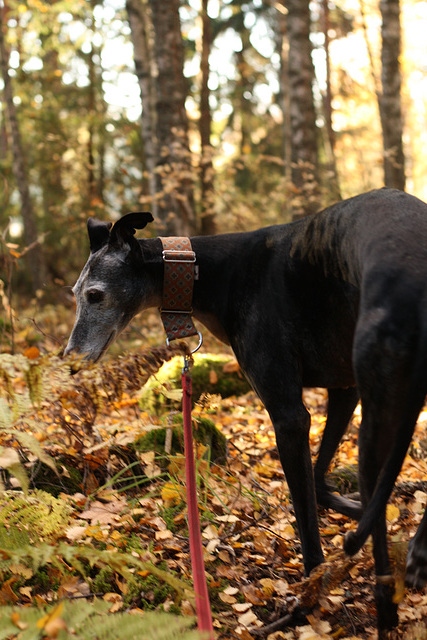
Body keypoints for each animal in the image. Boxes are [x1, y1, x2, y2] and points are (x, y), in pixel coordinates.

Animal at [65, 188, 427, 632]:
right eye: (75, 293)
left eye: (96, 295)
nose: (69, 360)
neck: (204, 271)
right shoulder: (344, 389)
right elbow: (320, 479)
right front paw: (348, 507)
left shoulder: (289, 415)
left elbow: (309, 525)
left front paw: (307, 598)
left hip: (377, 426)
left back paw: (385, 604)